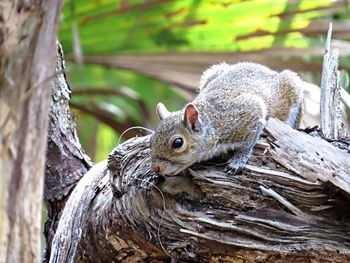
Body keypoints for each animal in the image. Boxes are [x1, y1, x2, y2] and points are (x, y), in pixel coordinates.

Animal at [149, 62, 302, 176]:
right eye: (151, 139)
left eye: (178, 143)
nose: (156, 168)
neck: (213, 123)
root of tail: (269, 70)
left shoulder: (247, 114)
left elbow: (248, 142)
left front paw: (238, 160)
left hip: (291, 88)